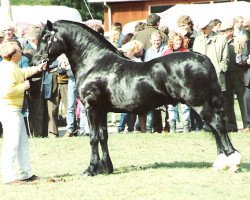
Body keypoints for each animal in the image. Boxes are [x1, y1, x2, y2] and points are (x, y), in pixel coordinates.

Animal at [32, 19, 241, 175]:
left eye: (45, 38)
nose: (35, 61)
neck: (94, 62)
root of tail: (202, 58)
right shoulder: (102, 110)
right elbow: (103, 136)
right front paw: (106, 168)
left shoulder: (91, 108)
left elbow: (93, 138)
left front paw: (91, 169)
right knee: (215, 128)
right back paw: (221, 162)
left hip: (200, 105)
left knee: (218, 126)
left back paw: (232, 161)